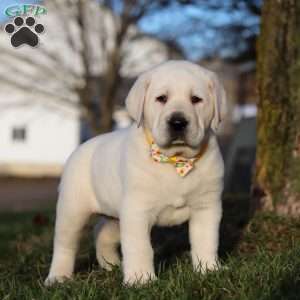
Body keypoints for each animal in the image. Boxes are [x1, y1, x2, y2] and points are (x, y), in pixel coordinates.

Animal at [45, 60, 227, 286]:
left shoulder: (207, 207)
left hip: (116, 216)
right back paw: (58, 276)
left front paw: (209, 270)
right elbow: (140, 247)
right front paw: (141, 279)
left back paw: (111, 265)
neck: (176, 161)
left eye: (196, 99)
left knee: (101, 233)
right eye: (161, 98)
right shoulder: (136, 210)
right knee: (65, 244)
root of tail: (81, 147)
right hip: (72, 210)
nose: (177, 122)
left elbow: (206, 240)